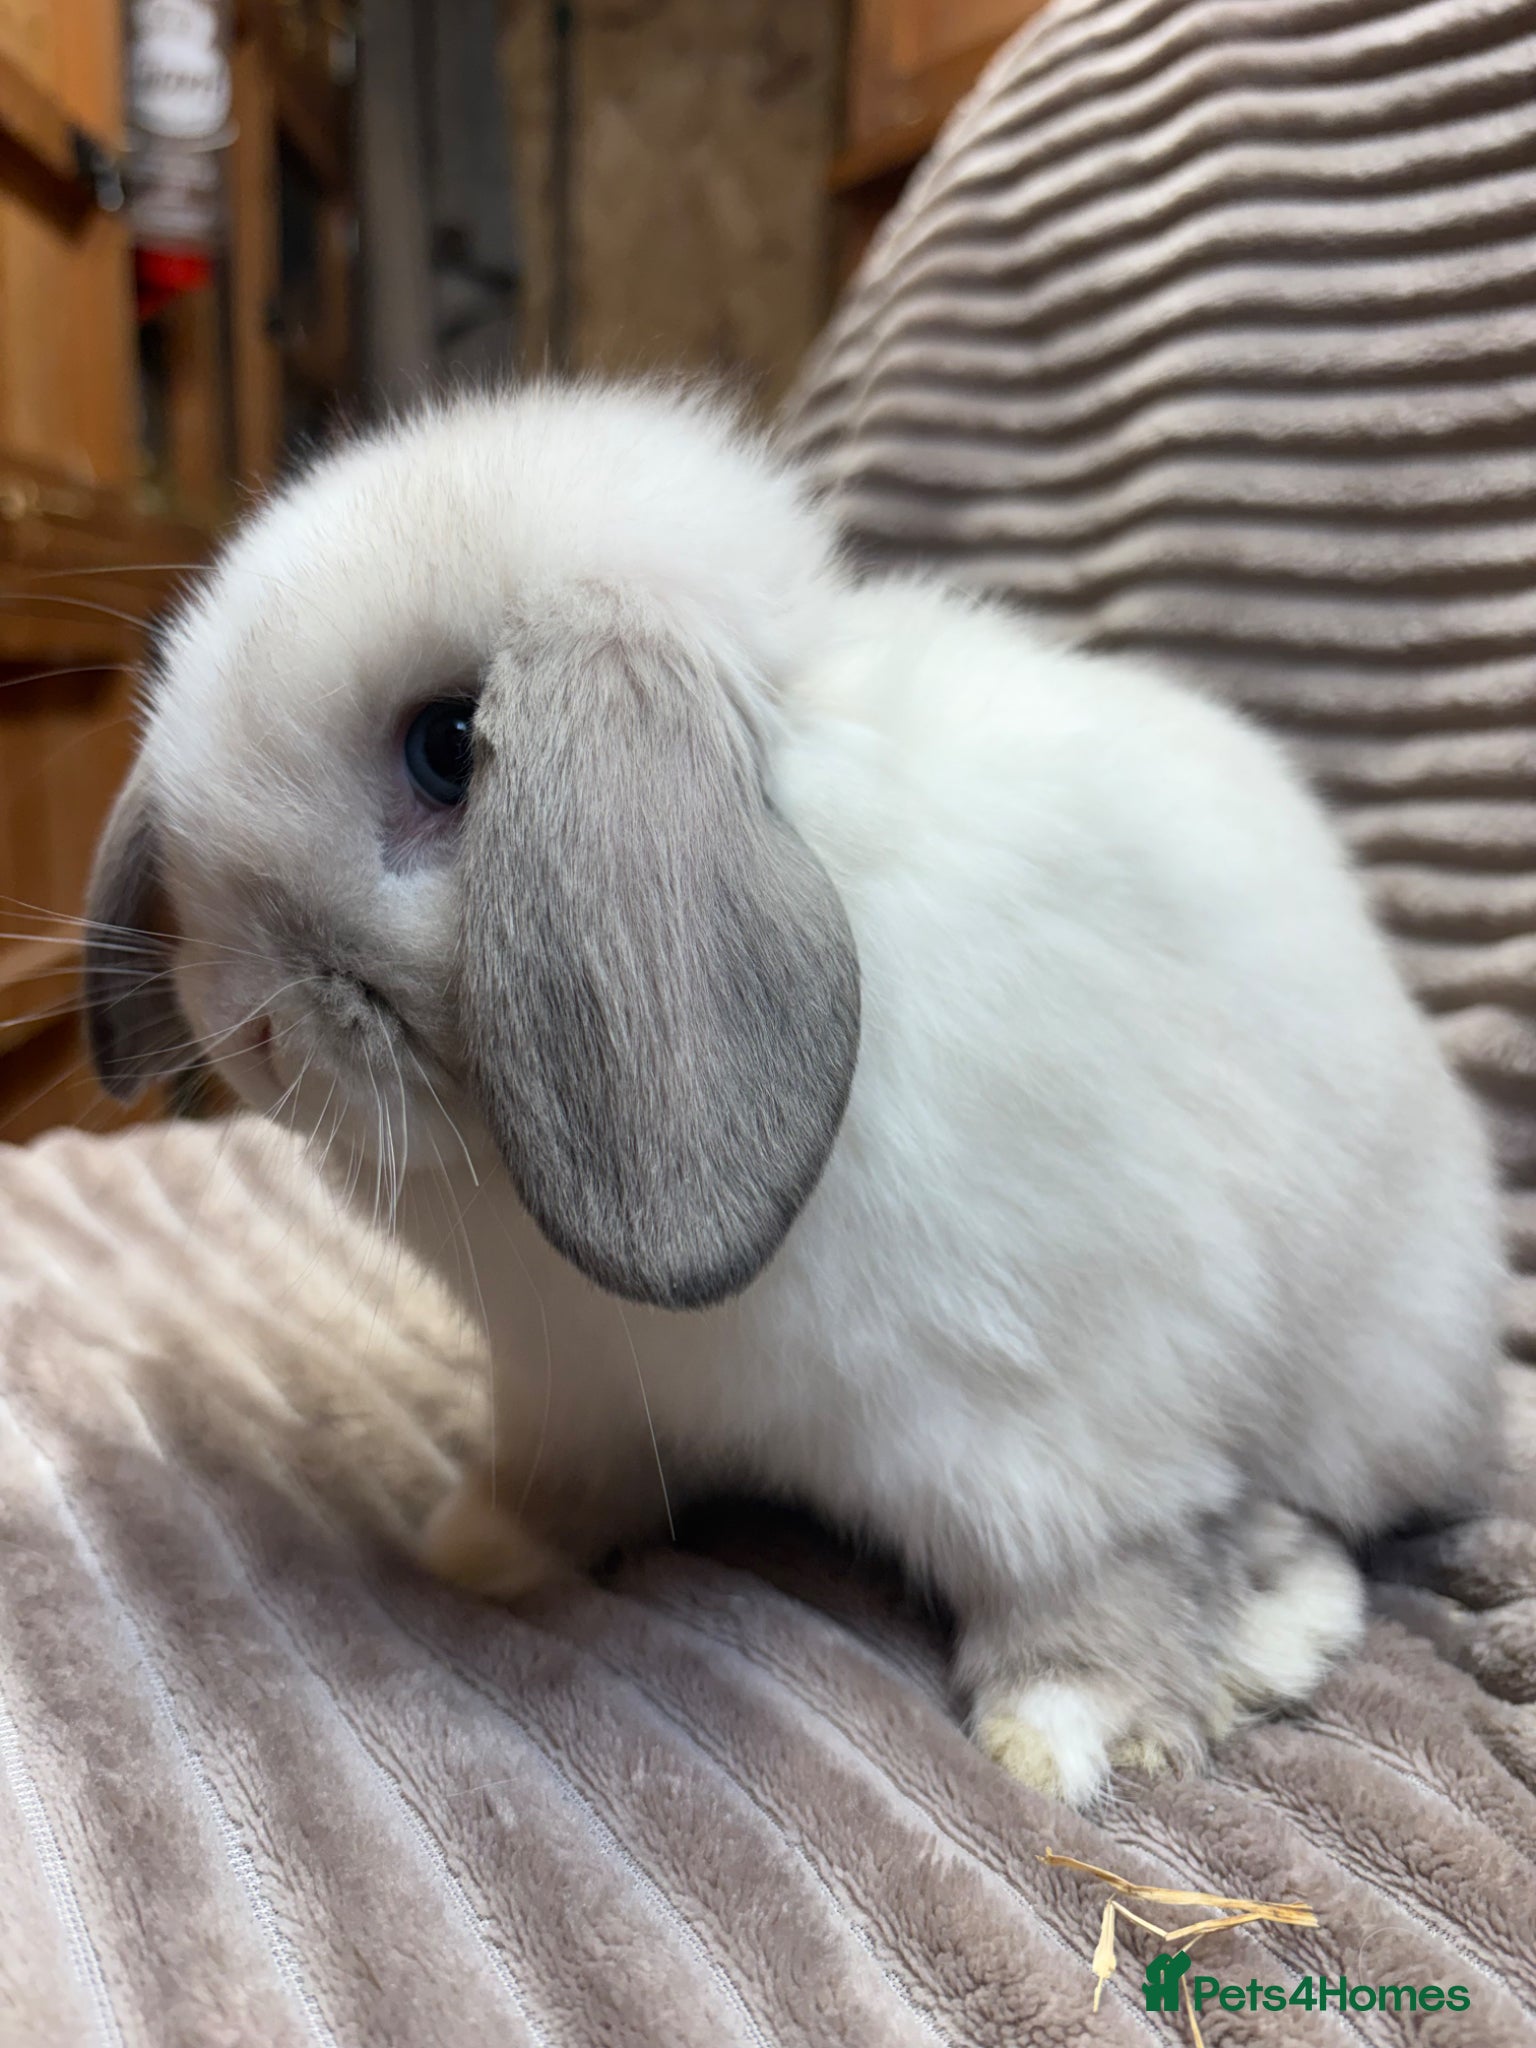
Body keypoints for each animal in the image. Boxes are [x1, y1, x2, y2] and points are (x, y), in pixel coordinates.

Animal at [83, 381, 1503, 1806]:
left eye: (449, 747)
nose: (253, 1028)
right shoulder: (577, 1400)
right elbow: (554, 1487)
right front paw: (476, 1549)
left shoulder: (1069, 1415)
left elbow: (1093, 1561)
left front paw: (1065, 1731)